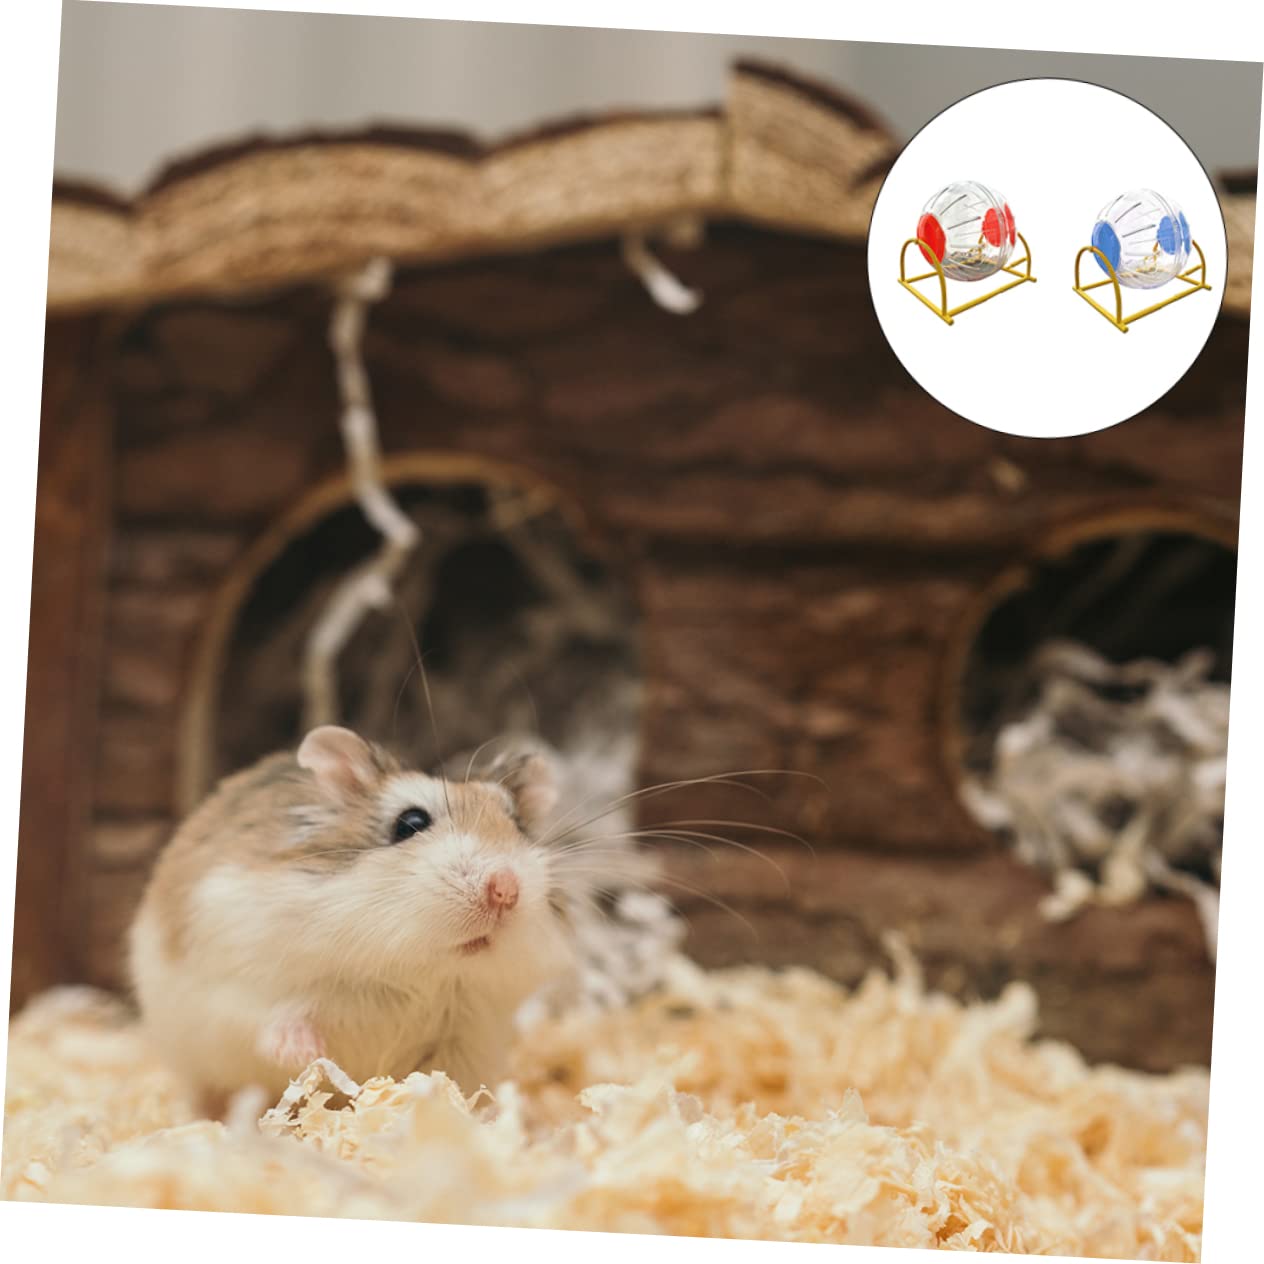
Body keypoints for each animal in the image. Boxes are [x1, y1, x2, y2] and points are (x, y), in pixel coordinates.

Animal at [128, 725, 578, 1111]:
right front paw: (307, 1054)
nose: (505, 889)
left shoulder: (468, 1038)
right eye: (410, 823)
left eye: (517, 825)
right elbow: (275, 1017)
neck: (417, 971)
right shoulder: (242, 980)